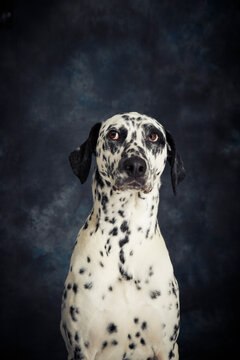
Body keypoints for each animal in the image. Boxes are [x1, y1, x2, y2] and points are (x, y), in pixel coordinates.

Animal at [60, 112, 186, 360]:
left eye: (153, 136)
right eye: (114, 134)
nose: (135, 166)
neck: (124, 242)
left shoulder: (167, 347)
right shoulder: (81, 348)